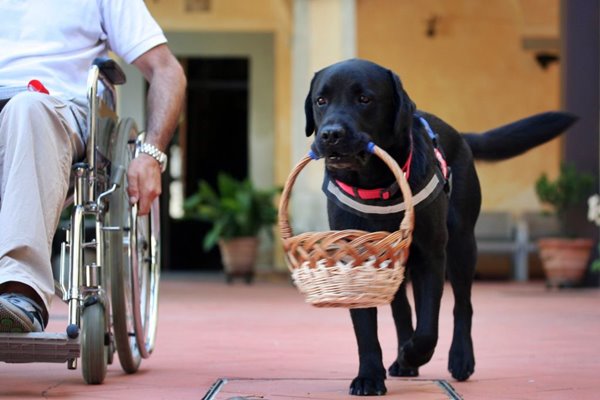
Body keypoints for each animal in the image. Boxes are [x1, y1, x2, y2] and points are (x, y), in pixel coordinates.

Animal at [304, 57, 576, 396]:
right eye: (321, 100)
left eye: (364, 99)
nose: (330, 134)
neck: (377, 186)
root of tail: (460, 134)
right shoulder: (356, 261)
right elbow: (366, 329)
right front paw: (368, 376)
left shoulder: (431, 255)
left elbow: (428, 328)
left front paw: (413, 353)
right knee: (403, 310)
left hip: (461, 245)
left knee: (462, 306)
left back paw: (458, 358)